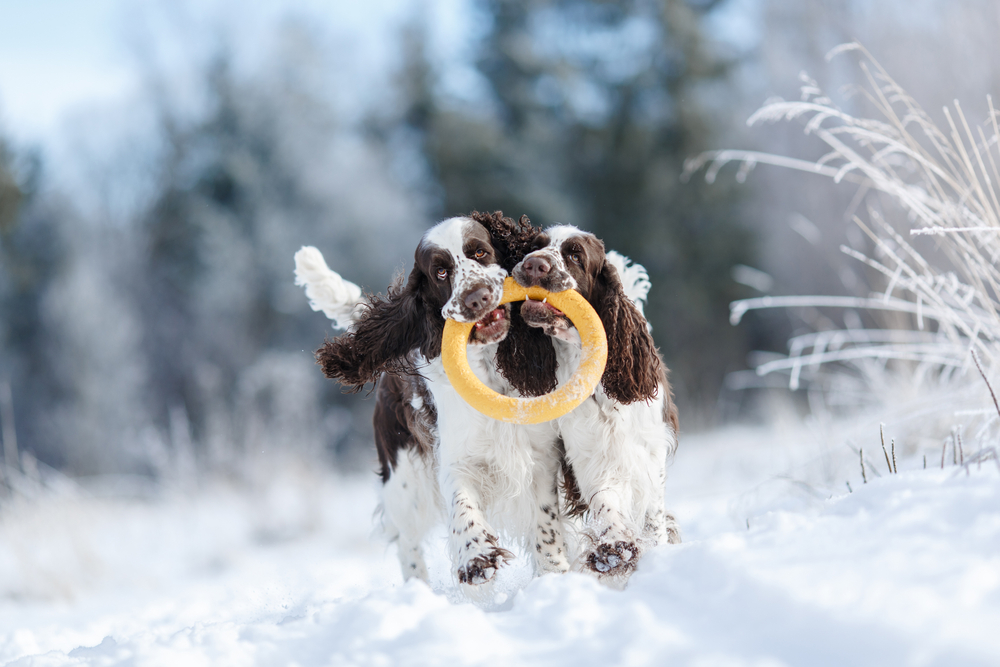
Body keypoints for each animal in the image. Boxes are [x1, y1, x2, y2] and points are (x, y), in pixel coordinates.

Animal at [294, 211, 572, 588]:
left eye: (480, 252)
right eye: (440, 272)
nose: (476, 297)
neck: (490, 373)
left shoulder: (541, 456)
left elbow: (546, 522)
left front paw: (555, 574)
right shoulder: (456, 458)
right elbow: (463, 506)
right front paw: (477, 558)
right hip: (403, 479)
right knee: (407, 542)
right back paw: (418, 590)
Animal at [512, 224, 684, 580]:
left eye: (575, 255)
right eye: (535, 246)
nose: (534, 264)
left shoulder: (649, 450)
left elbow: (653, 513)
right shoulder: (590, 453)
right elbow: (607, 502)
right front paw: (614, 550)